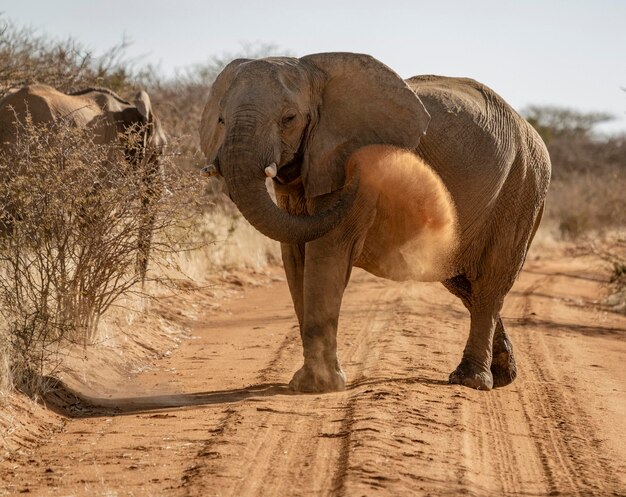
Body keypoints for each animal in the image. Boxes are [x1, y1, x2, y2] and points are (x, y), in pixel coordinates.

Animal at [197, 51, 548, 392]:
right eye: (221, 119)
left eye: (289, 118)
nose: (359, 169)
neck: (313, 72)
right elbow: (294, 256)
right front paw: (307, 383)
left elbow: (327, 252)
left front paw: (318, 386)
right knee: (463, 283)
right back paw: (504, 375)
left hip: (522, 186)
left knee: (489, 282)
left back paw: (471, 381)